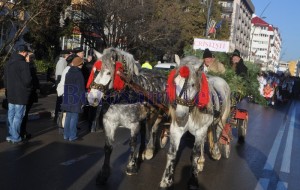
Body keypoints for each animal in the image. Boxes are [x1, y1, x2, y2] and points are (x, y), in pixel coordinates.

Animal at [161, 56, 231, 189]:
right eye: (175, 83)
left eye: (192, 84)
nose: (180, 115)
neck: (191, 110)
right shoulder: (176, 129)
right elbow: (172, 153)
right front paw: (166, 179)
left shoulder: (201, 130)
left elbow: (194, 154)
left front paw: (193, 180)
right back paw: (202, 161)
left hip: (222, 119)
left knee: (218, 133)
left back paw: (216, 152)